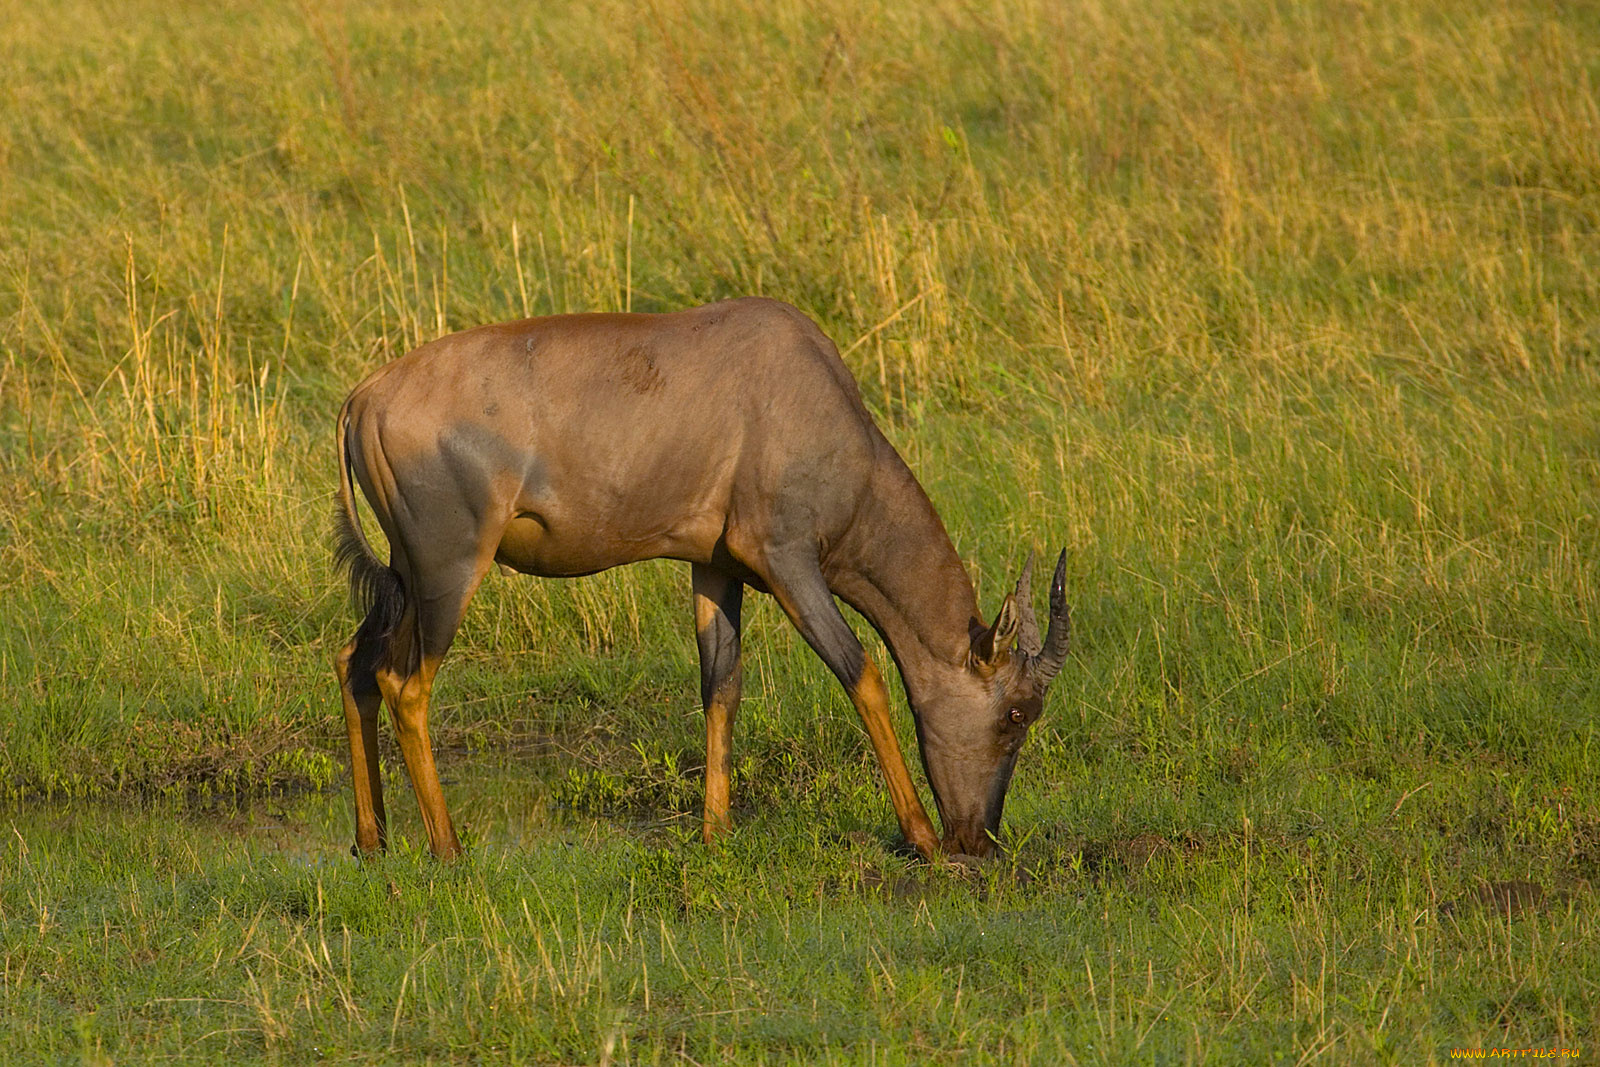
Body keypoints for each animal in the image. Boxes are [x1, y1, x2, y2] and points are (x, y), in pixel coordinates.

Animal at [331, 295, 1068, 863]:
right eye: (1015, 713)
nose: (979, 839)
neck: (807, 389)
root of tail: (361, 397)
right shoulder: (786, 560)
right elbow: (860, 672)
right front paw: (919, 838)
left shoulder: (715, 567)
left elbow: (722, 687)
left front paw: (716, 835)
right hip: (449, 569)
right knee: (406, 683)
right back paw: (448, 848)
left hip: (405, 572)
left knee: (355, 661)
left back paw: (372, 841)